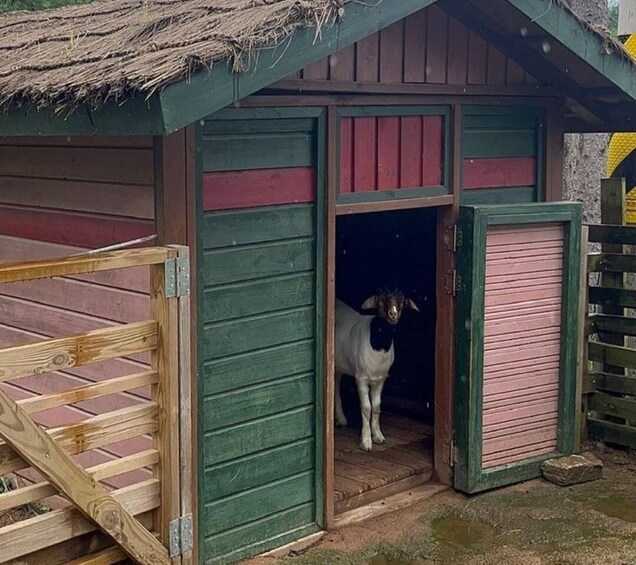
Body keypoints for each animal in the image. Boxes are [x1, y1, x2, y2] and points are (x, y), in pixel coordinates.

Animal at [336, 288, 420, 452]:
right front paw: (366, 441)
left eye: (402, 301)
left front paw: (378, 436)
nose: (393, 314)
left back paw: (341, 419)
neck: (378, 344)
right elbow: (366, 408)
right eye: (380, 302)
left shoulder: (380, 379)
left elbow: (376, 407)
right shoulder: (361, 378)